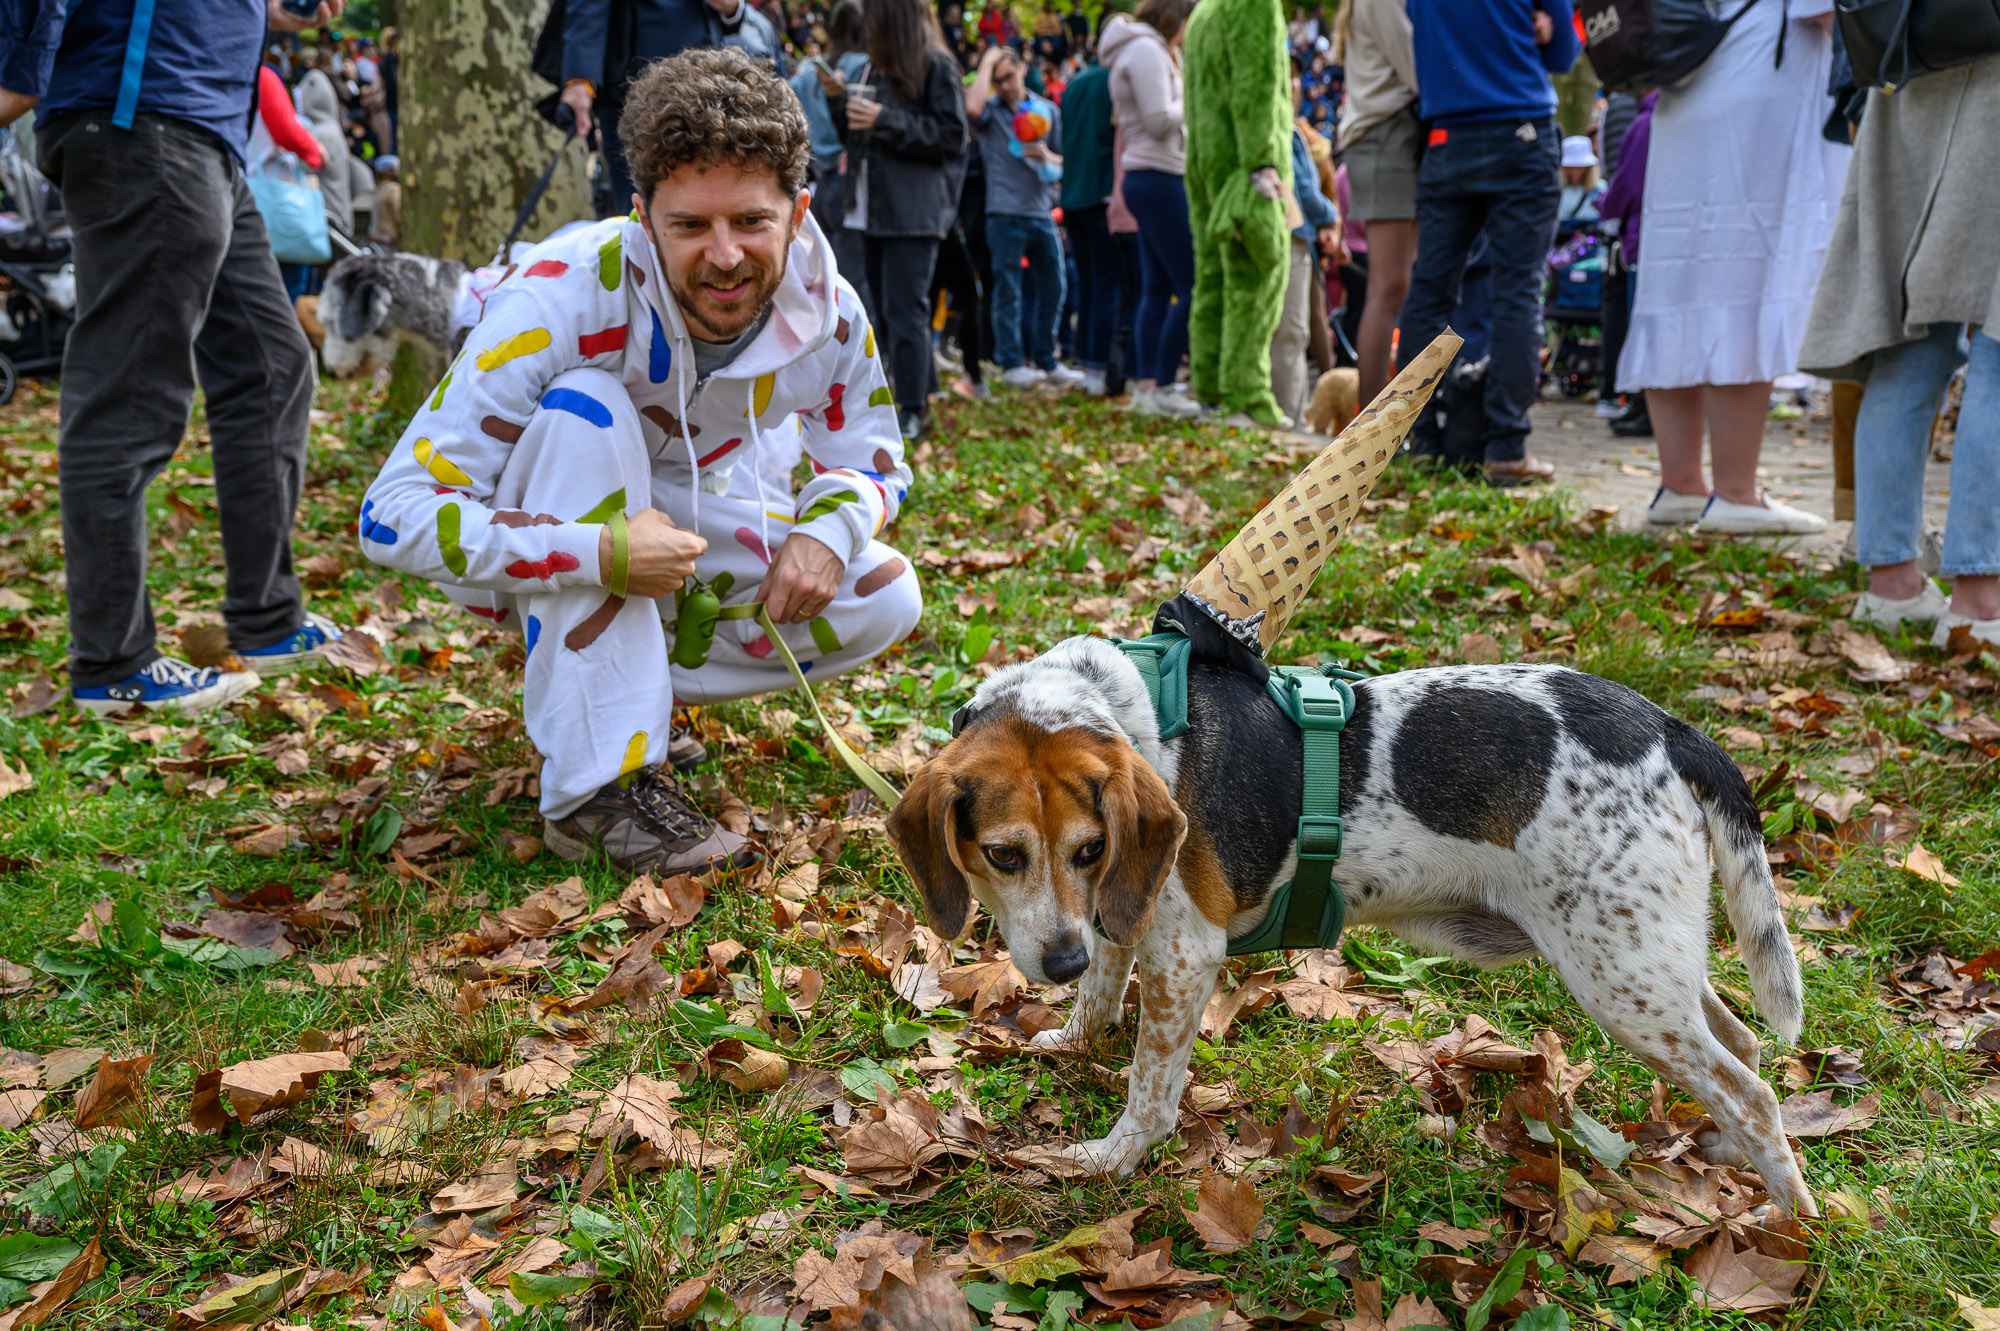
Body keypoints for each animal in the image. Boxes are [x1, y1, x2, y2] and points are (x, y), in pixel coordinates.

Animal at [884, 635, 1824, 1215]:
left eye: (1085, 847)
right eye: (1003, 854)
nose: (1061, 962)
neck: (1126, 712)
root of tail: (1668, 728)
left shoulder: (1184, 950)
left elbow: (1150, 1088)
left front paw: (1110, 1158)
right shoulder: (1122, 911)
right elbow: (1106, 994)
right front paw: (1074, 1037)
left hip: (1618, 978)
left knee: (1754, 1089)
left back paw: (1793, 1223)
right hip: (1651, 959)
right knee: (1742, 1047)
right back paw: (1734, 1162)